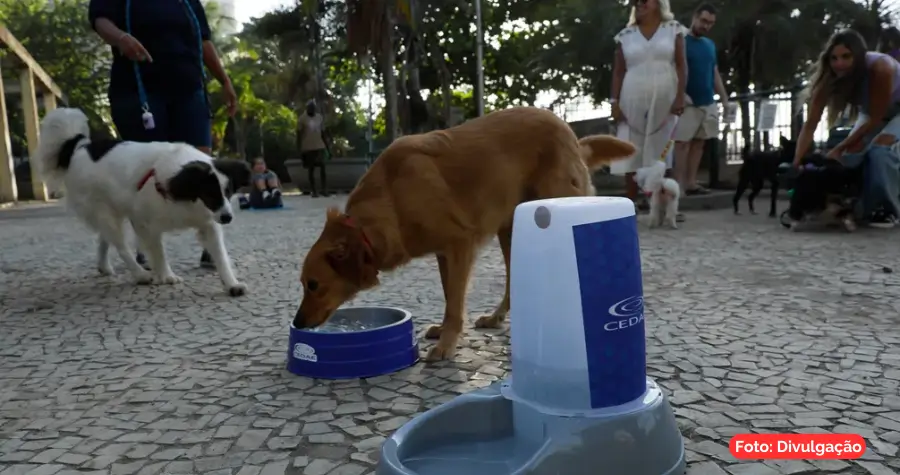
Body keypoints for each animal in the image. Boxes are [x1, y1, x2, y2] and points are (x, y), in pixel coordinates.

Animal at [33, 107, 251, 298]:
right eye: (210, 194)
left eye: (228, 192)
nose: (227, 217)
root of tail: (80, 146)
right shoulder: (144, 222)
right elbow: (157, 250)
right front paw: (166, 275)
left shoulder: (208, 223)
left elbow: (220, 255)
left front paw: (231, 284)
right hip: (103, 211)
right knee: (120, 245)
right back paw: (140, 274)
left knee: (105, 238)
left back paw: (104, 266)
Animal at [296, 107, 632, 360]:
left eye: (313, 285)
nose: (298, 323)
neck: (392, 195)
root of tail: (571, 134)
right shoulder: (444, 253)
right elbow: (450, 296)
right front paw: (444, 331)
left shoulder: (459, 244)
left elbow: (455, 301)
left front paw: (447, 343)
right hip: (511, 230)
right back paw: (497, 317)